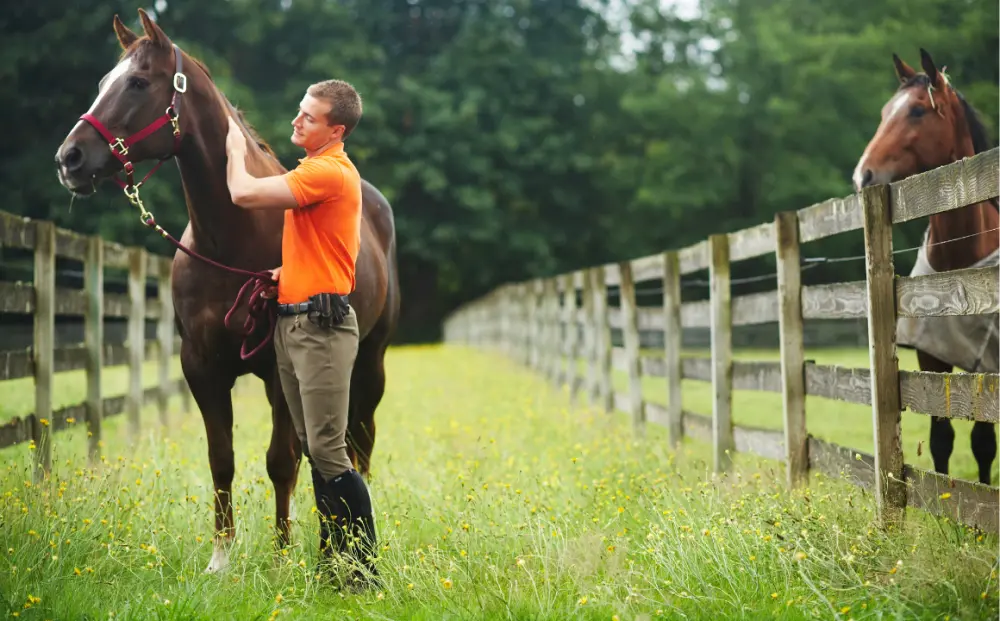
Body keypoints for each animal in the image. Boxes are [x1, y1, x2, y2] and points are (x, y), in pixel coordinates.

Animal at [53, 9, 398, 572]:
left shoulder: (280, 370)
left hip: (370, 360)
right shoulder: (202, 366)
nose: (70, 158)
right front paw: (221, 557)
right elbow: (223, 459)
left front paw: (280, 556)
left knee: (358, 441)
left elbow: (280, 461)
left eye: (138, 82)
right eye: (104, 82)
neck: (233, 238)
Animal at [852, 48, 1000, 484]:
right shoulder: (930, 357)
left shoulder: (984, 361)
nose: (863, 176)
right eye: (885, 112)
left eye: (918, 111)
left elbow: (983, 442)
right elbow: (941, 438)